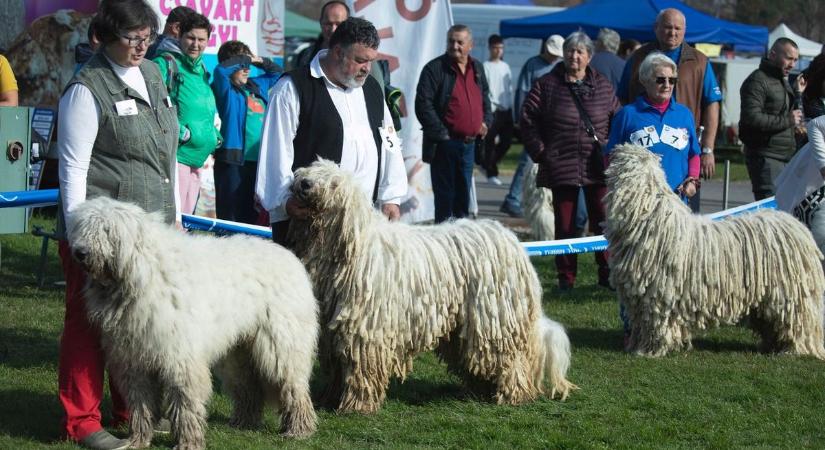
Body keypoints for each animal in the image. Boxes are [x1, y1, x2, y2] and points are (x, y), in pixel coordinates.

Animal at [67, 200, 318, 450]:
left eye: (106, 230)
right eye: (81, 228)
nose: (80, 252)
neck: (144, 273)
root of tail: (289, 256)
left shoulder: (180, 357)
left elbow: (184, 401)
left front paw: (188, 442)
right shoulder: (134, 360)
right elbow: (140, 403)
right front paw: (137, 439)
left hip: (282, 344)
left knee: (293, 385)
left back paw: (299, 429)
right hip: (238, 350)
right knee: (248, 385)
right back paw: (243, 421)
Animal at [286, 159, 576, 414]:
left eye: (333, 183)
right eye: (310, 169)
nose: (304, 183)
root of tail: (513, 242)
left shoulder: (365, 329)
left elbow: (362, 368)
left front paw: (357, 406)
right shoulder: (334, 329)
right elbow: (338, 366)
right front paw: (330, 398)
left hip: (495, 319)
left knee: (509, 359)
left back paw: (513, 394)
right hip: (466, 326)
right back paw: (481, 390)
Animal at [600, 144, 824, 358]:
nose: (609, 152)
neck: (649, 214)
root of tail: (798, 227)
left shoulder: (658, 294)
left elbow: (656, 324)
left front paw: (651, 351)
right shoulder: (640, 299)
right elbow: (642, 324)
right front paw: (637, 346)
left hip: (792, 293)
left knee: (799, 322)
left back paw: (794, 350)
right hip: (768, 298)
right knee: (772, 323)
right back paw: (772, 346)